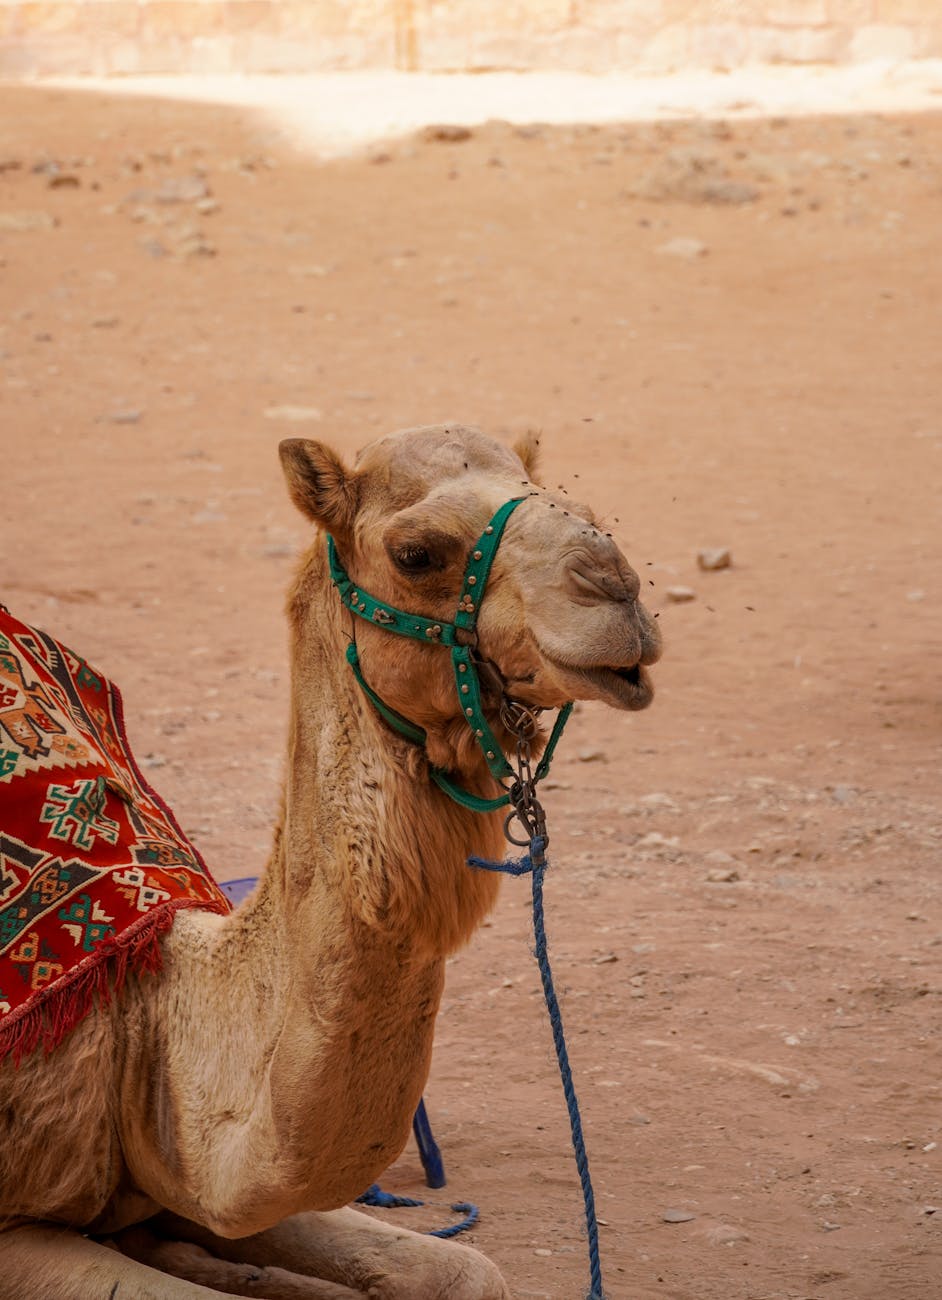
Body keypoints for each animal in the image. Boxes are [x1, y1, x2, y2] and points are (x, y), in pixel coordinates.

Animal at [0, 424, 661, 1299]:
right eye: (417, 553)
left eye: (577, 506)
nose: (616, 589)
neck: (145, 1022)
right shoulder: (13, 1223)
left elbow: (467, 1270)